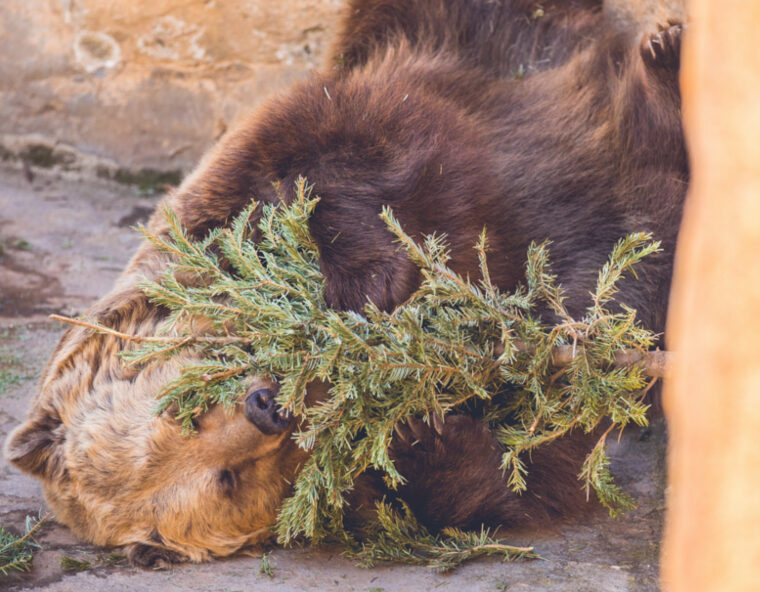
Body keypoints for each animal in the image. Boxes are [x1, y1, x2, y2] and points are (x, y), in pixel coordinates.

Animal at [4, 0, 688, 564]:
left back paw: (665, 54)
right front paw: (415, 430)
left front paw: (363, 287)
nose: (266, 406)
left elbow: (344, 156)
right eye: (225, 481)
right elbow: (527, 466)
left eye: (185, 410)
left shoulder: (245, 182)